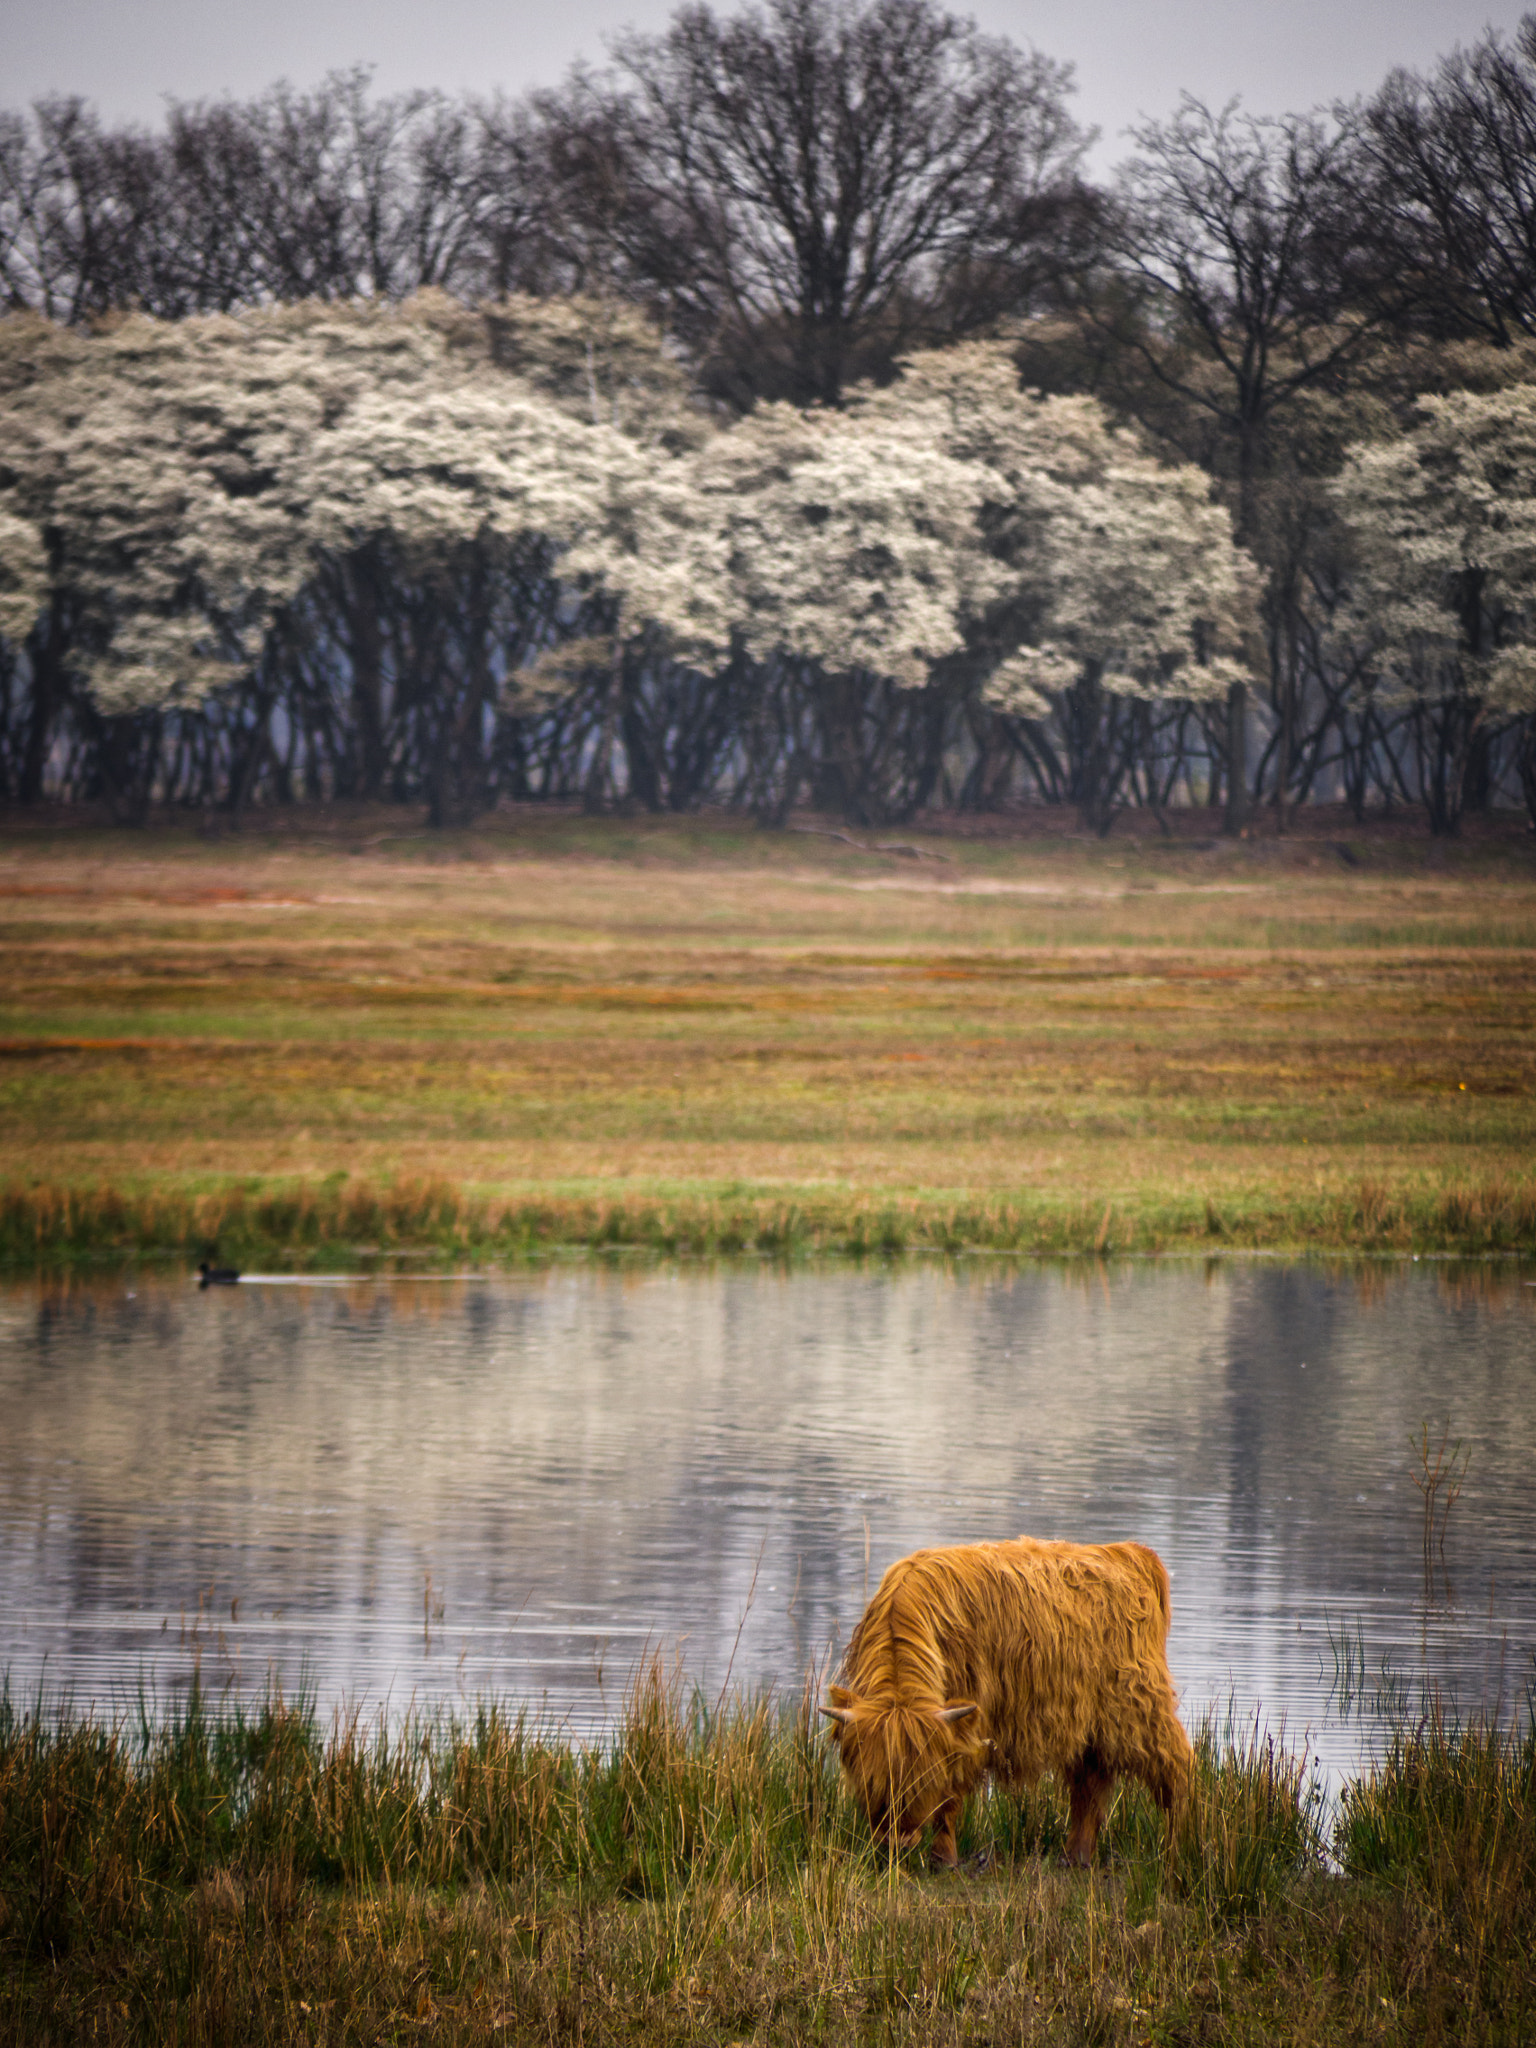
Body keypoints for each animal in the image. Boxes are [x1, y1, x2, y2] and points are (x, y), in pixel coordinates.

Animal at [823, 1540, 1196, 1875]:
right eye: (871, 1780)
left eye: (923, 1780)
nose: (897, 1843)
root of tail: (1129, 1553)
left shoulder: (967, 1727)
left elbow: (949, 1800)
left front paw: (943, 1859)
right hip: (1090, 1725)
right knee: (1090, 1785)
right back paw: (1076, 1856)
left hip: (1139, 1706)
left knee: (1176, 1767)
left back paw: (1180, 1846)